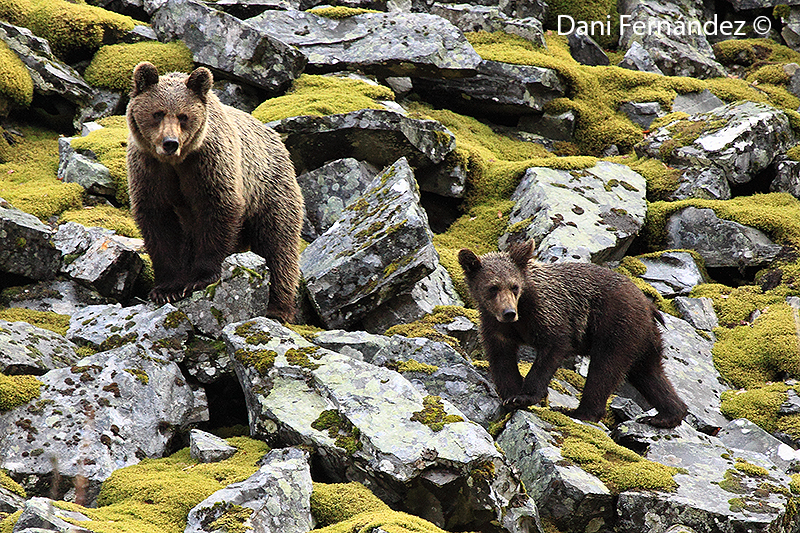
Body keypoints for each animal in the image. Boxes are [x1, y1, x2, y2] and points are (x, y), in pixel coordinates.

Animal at [126, 62, 304, 320]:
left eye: (183, 116)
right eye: (158, 113)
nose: (170, 142)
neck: (177, 163)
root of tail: (278, 140)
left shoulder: (209, 165)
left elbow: (217, 211)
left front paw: (200, 278)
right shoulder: (150, 171)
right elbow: (158, 222)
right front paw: (167, 288)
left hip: (270, 191)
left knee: (278, 245)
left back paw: (277, 308)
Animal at [456, 241, 688, 428]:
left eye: (514, 286)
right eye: (492, 287)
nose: (508, 313)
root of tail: (649, 305)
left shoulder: (548, 312)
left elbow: (554, 346)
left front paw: (525, 396)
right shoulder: (495, 327)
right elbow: (501, 359)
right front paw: (510, 397)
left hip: (616, 325)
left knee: (604, 368)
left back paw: (581, 412)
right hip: (643, 338)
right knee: (649, 373)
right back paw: (666, 415)